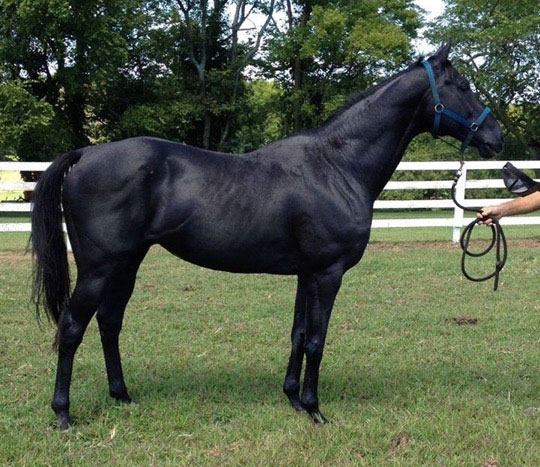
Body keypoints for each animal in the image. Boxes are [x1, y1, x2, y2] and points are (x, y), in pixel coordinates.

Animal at [31, 44, 504, 432]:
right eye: (463, 85)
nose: (496, 137)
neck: (338, 165)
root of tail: (85, 154)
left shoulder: (306, 273)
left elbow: (298, 333)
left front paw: (293, 399)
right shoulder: (328, 272)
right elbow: (317, 339)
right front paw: (315, 409)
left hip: (128, 262)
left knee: (109, 322)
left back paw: (122, 396)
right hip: (99, 267)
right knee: (72, 328)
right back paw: (63, 414)